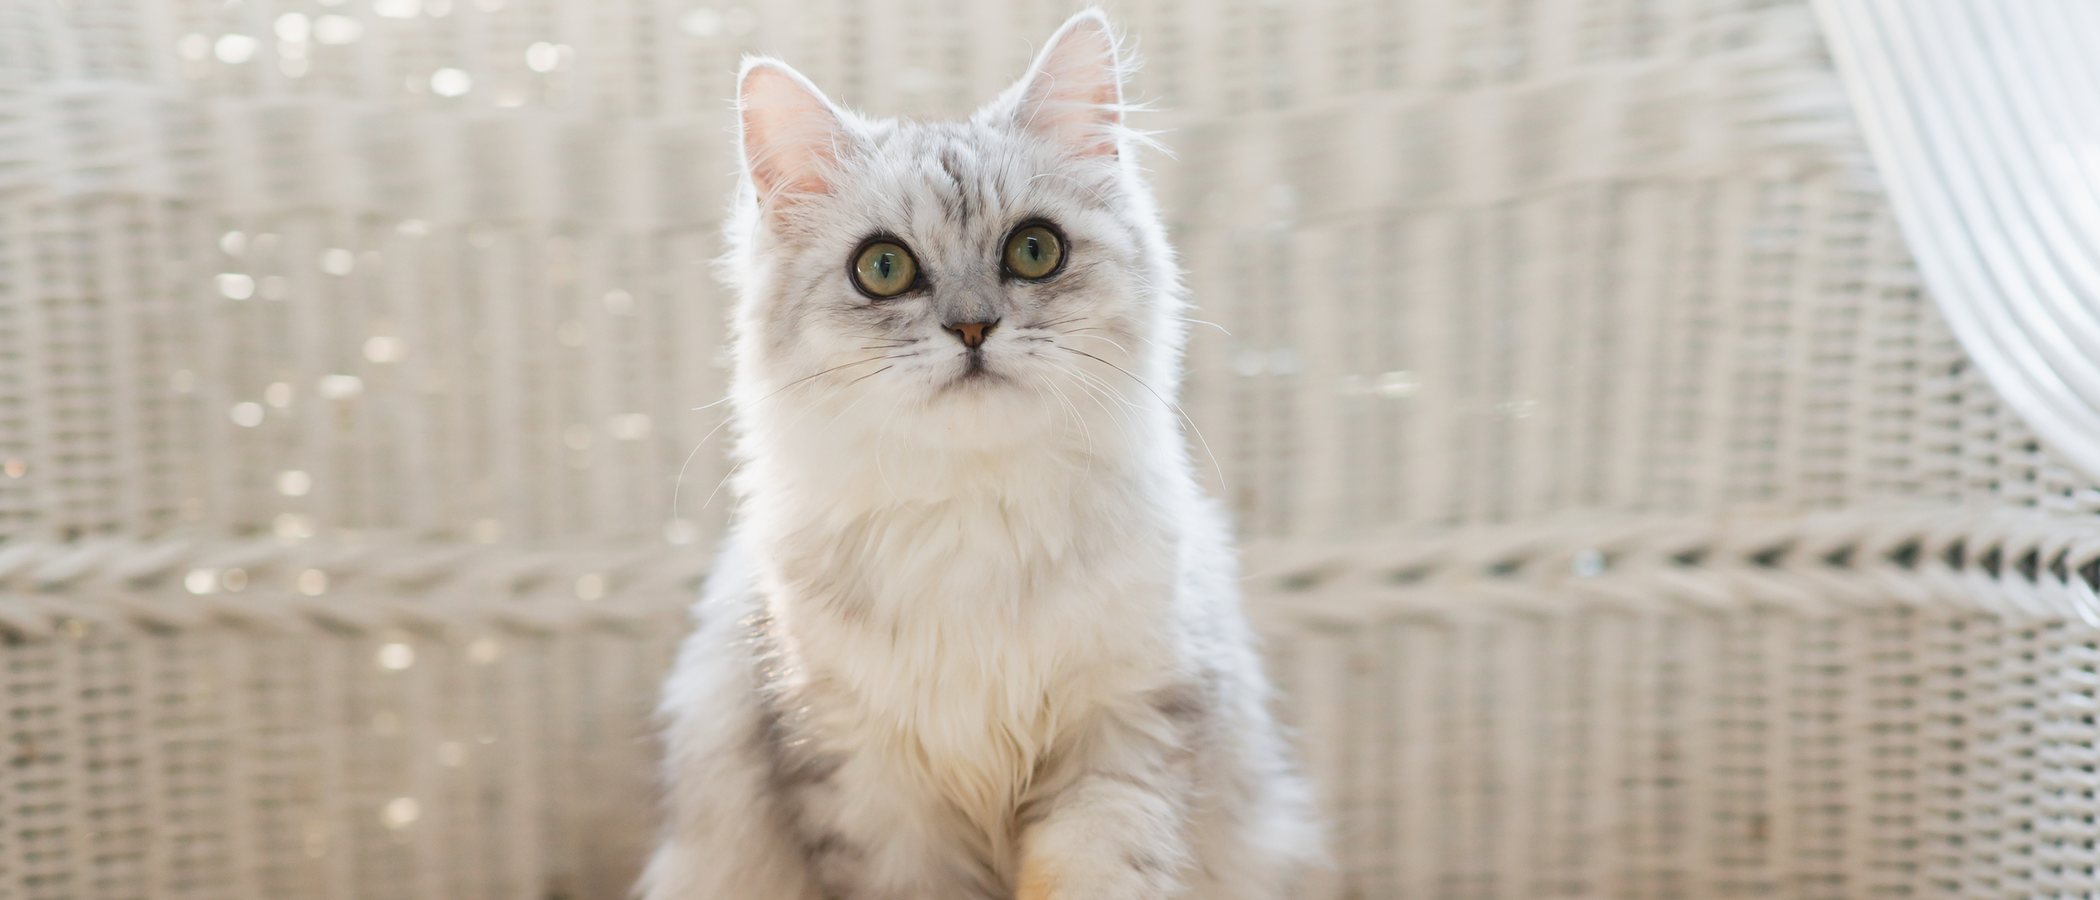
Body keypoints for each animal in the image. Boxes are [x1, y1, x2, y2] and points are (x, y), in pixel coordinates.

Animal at [638, 8, 1318, 897]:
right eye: (882, 268)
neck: (970, 522)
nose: (971, 327)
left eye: (1034, 251)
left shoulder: (1124, 737)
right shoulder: (857, 775)